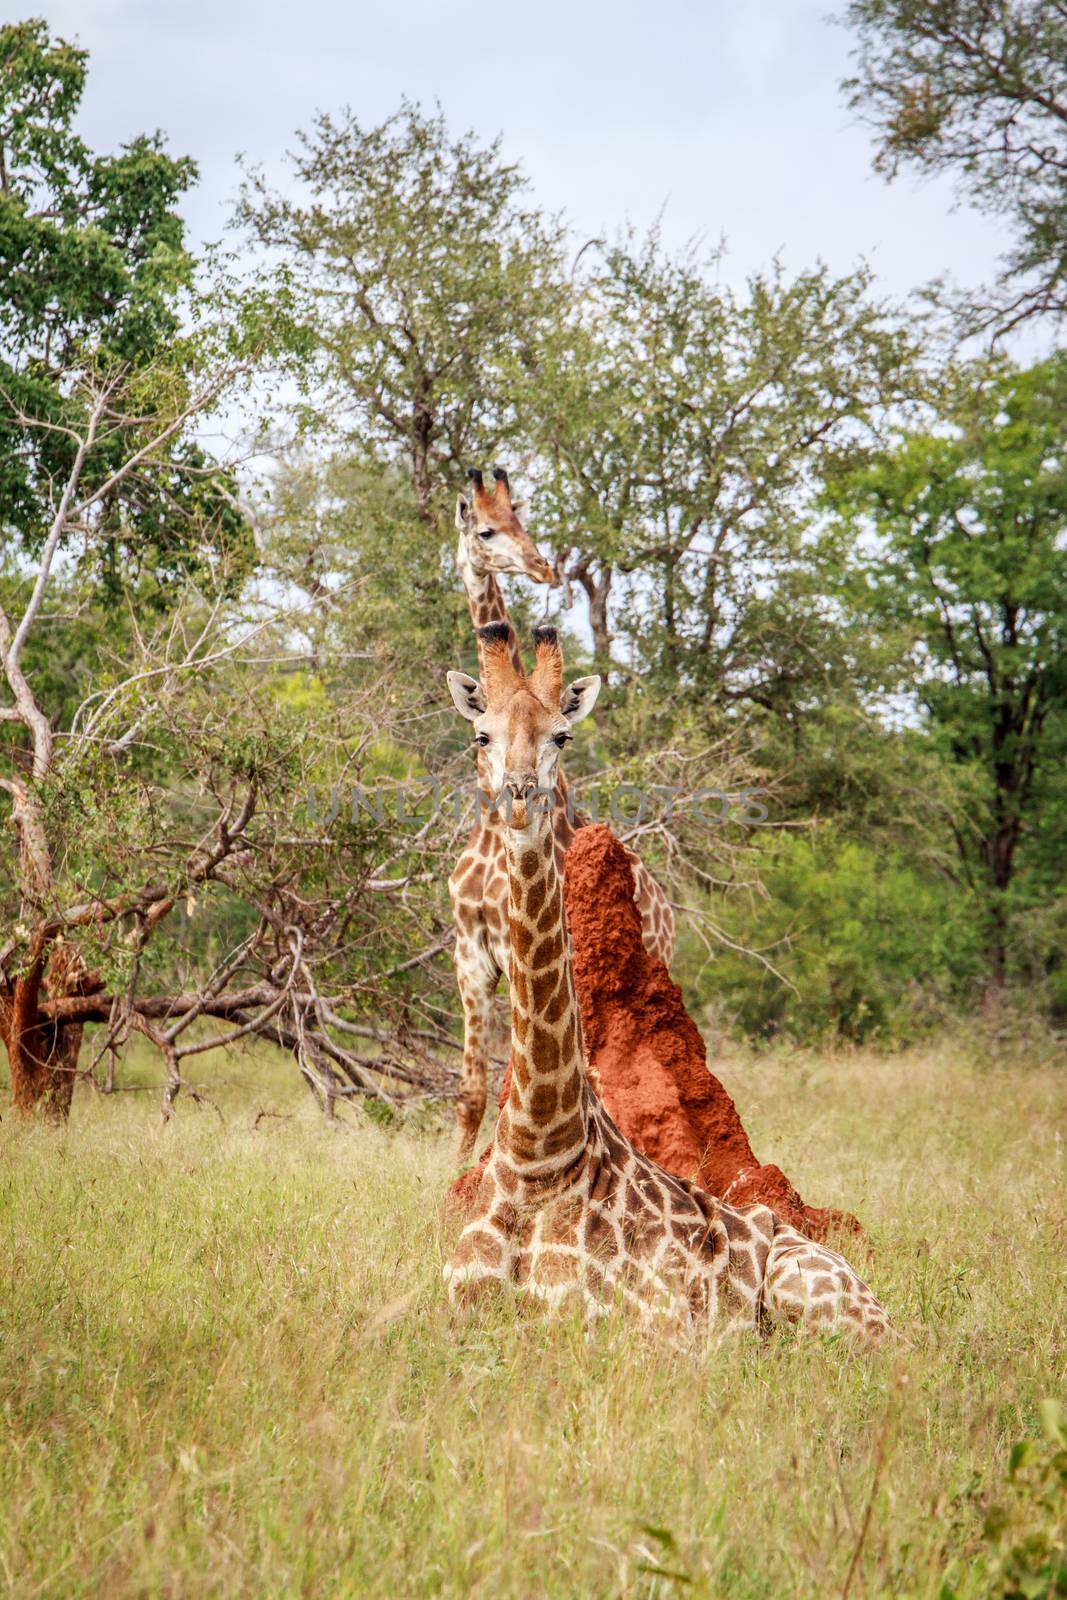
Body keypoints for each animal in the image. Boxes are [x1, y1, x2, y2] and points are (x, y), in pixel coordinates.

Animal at [441, 617, 895, 1344]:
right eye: (481, 733)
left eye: (561, 736)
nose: (519, 797)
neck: (536, 1157)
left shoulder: (621, 1330)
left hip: (819, 1292)